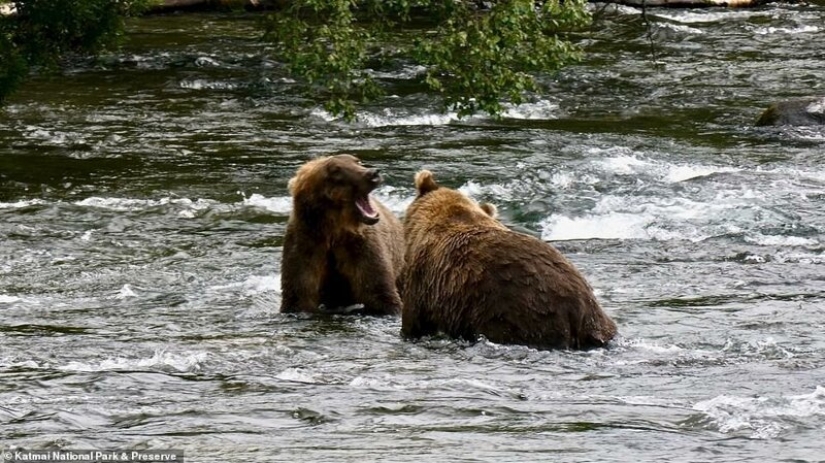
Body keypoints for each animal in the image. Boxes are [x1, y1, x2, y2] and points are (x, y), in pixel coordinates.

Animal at [279, 154, 404, 316]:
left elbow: (379, 292)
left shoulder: (359, 246)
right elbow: (299, 295)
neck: (333, 229)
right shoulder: (306, 245)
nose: (373, 173)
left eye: (357, 161)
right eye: (335, 170)